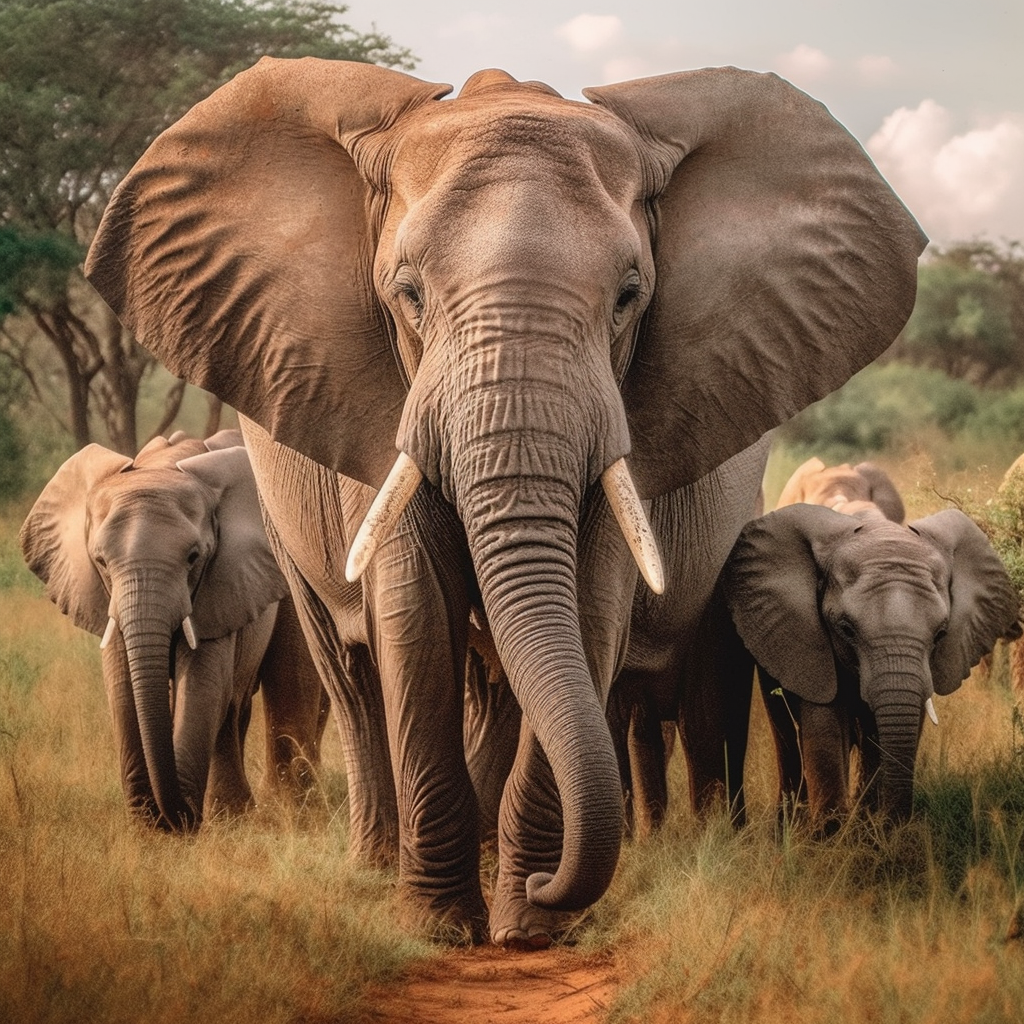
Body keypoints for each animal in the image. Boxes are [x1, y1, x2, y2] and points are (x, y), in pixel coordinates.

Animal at [18, 430, 327, 831]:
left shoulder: (218, 582)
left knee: (284, 679)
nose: (169, 820)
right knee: (235, 706)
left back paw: (283, 812)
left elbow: (201, 682)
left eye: (194, 557)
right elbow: (121, 687)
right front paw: (148, 830)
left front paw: (177, 826)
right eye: (100, 561)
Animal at [724, 499, 1019, 827]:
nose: (895, 823)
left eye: (941, 634)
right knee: (786, 734)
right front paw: (831, 832)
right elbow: (825, 725)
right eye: (846, 629)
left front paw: (868, 829)